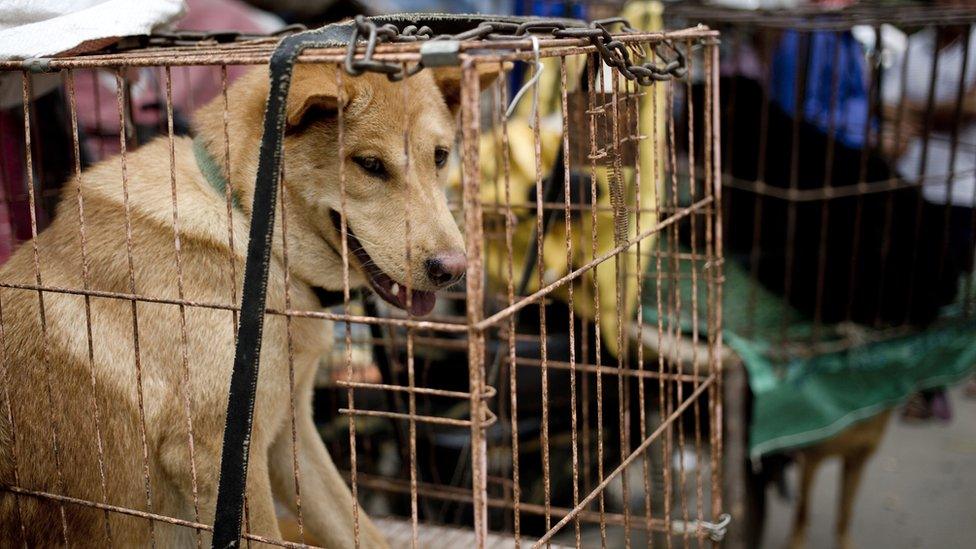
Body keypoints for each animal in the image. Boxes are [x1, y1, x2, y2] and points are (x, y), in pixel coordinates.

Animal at [0, 62, 500, 544]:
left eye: (440, 156)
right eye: (369, 164)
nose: (454, 270)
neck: (246, 221)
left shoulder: (289, 439)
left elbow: (359, 529)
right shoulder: (219, 457)